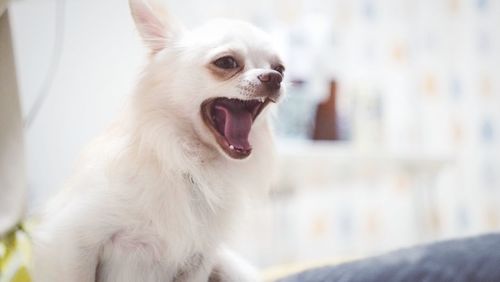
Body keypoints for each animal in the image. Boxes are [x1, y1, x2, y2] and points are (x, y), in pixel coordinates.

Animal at [32, 0, 286, 280]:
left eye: (280, 68)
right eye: (227, 62)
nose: (274, 78)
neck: (188, 165)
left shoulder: (198, 261)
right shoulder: (72, 240)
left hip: (230, 267)